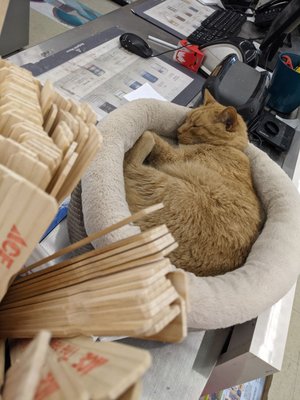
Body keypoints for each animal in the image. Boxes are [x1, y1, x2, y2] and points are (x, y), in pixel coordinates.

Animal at [123, 91, 262, 276]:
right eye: (187, 119)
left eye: (195, 126)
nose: (178, 131)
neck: (229, 147)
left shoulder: (173, 157)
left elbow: (156, 138)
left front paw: (149, 131)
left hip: (164, 183)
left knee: (133, 160)